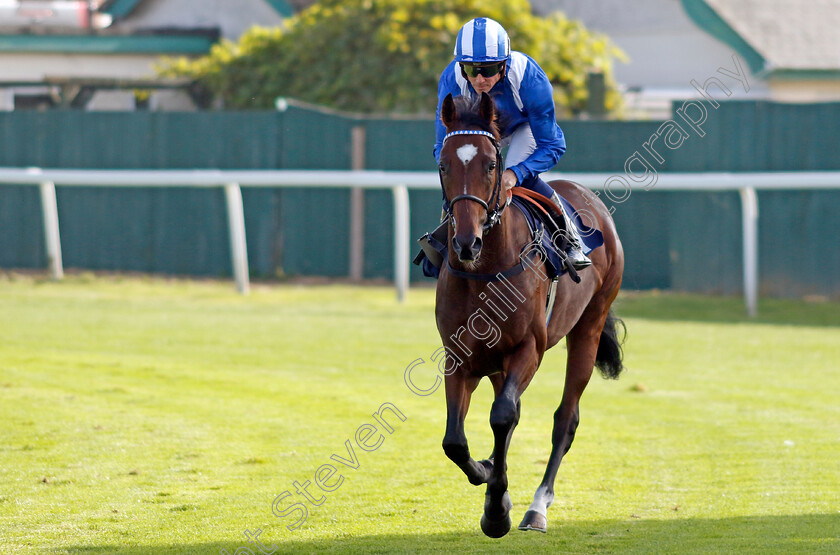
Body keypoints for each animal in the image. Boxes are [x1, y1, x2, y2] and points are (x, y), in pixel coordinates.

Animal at [436, 92, 628, 540]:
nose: (466, 243)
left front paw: (497, 511)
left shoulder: (528, 349)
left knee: (565, 419)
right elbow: (455, 440)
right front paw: (488, 475)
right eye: (444, 164)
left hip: (588, 329)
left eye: (491, 164)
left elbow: (504, 415)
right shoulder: (461, 356)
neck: (485, 269)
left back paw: (537, 507)